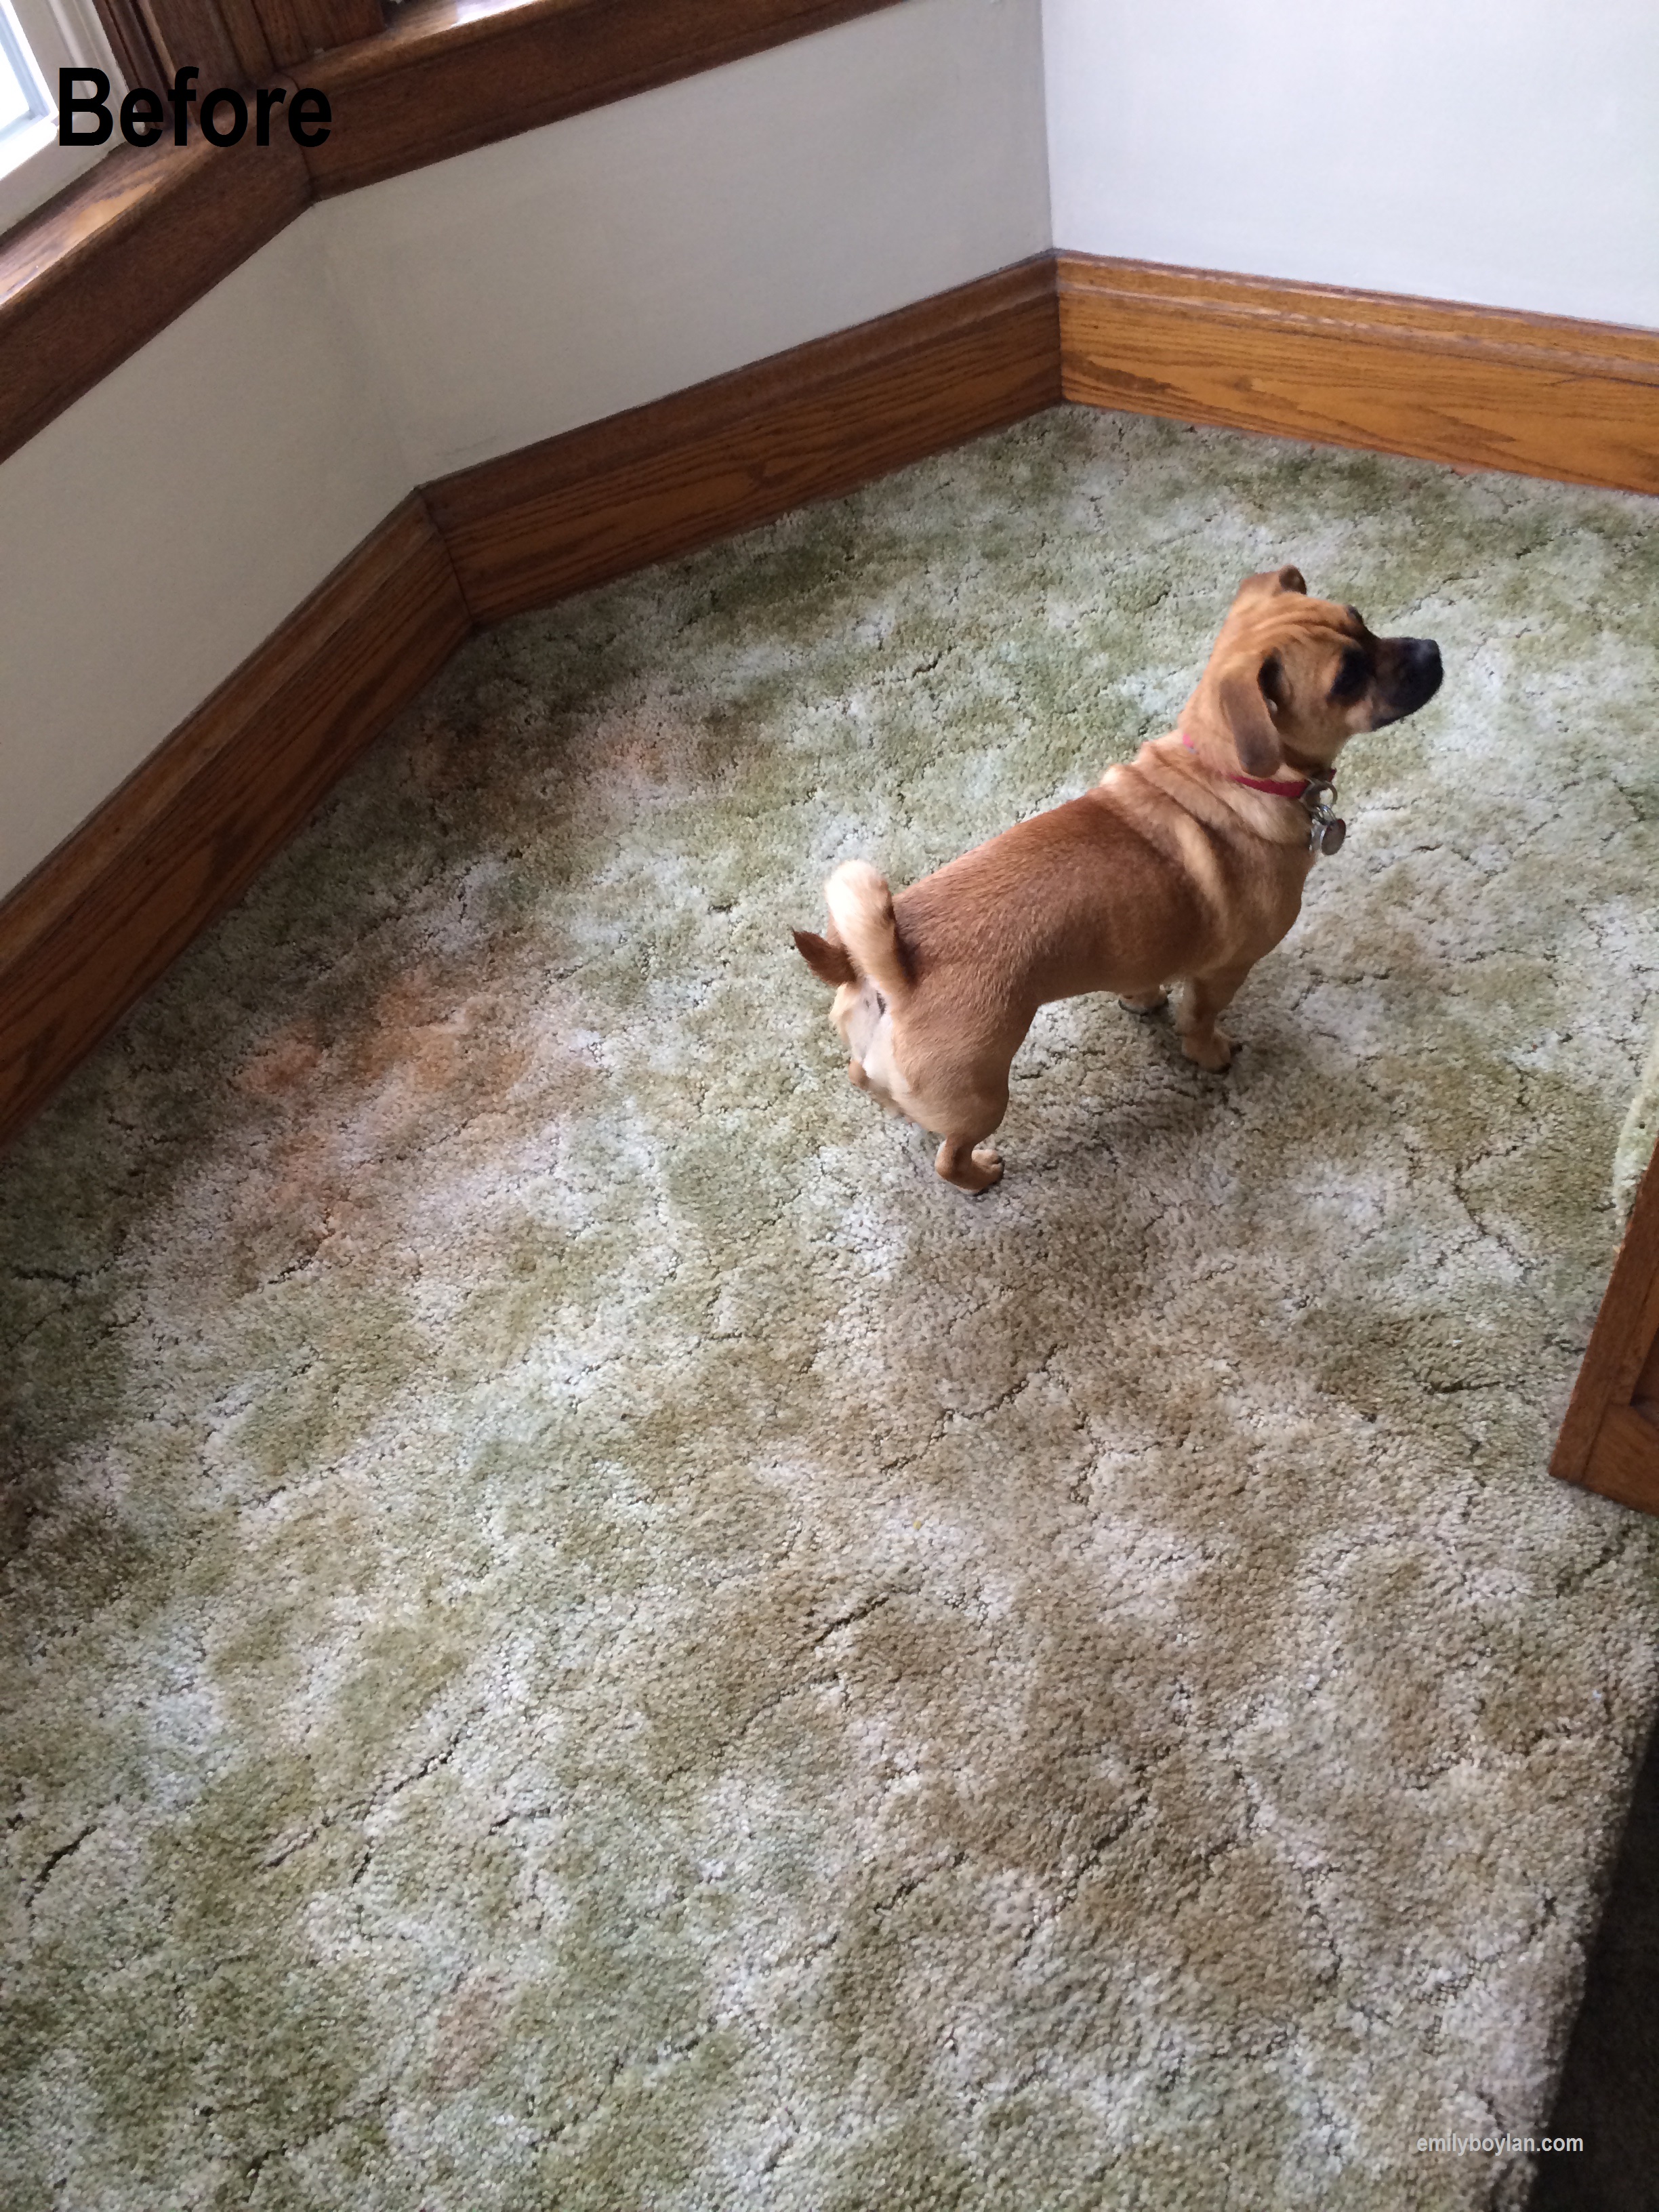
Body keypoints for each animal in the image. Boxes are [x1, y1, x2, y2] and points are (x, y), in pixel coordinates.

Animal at [792, 566, 1442, 1192]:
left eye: (1360, 619)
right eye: (1348, 678)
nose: (1434, 649)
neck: (1223, 773)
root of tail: (889, 971)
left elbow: (1145, 981)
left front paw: (1143, 1002)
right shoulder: (1224, 971)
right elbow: (1199, 1019)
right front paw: (1209, 1052)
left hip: (899, 1073)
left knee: (868, 1081)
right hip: (982, 1095)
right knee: (950, 1159)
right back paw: (978, 1176)